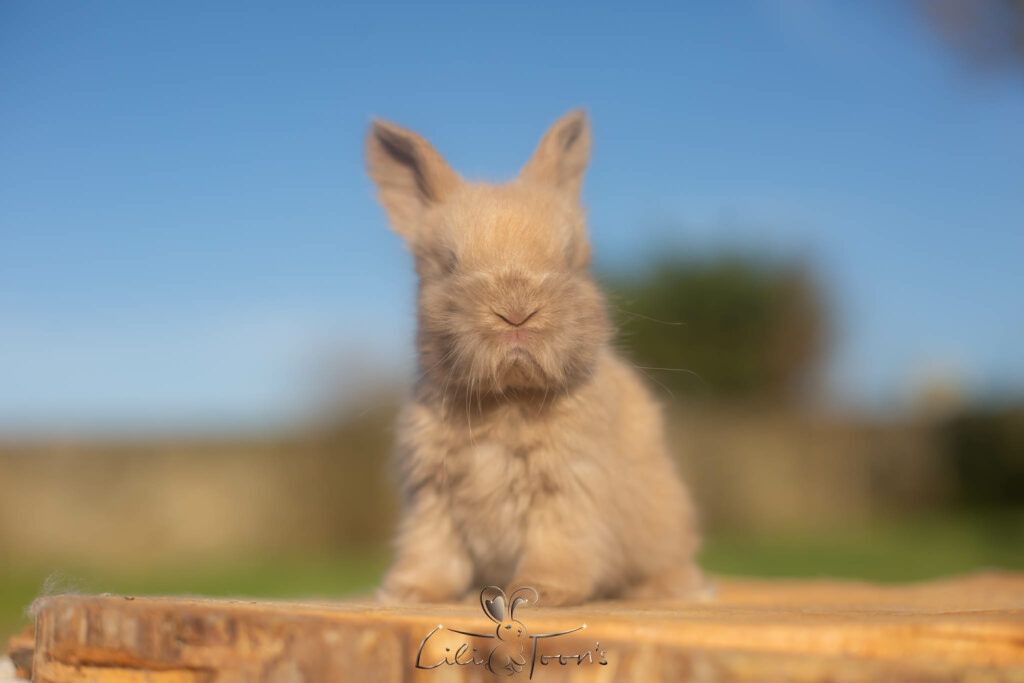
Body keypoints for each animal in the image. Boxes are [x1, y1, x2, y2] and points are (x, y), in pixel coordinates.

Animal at [368, 109, 705, 606]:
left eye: (570, 260)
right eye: (448, 265)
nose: (516, 311)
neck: (507, 398)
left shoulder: (570, 484)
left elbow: (558, 543)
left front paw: (538, 592)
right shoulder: (432, 492)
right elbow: (431, 547)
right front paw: (408, 591)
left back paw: (668, 590)